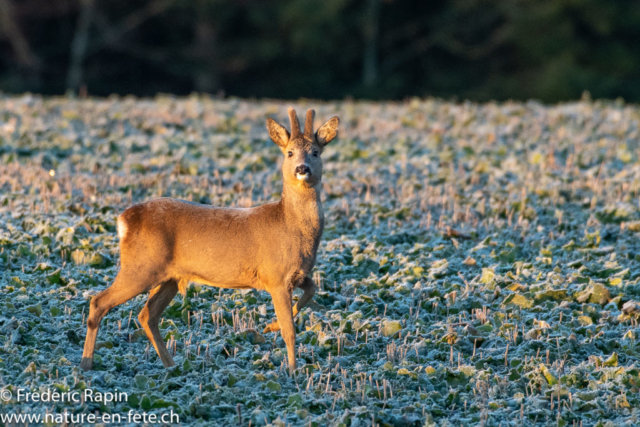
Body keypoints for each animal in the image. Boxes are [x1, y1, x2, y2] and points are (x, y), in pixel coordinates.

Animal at [80, 108, 340, 374]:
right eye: (289, 152)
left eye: (315, 152)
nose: (302, 168)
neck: (290, 226)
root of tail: (124, 219)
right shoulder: (275, 276)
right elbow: (290, 331)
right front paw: (292, 371)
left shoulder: (297, 274)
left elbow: (312, 290)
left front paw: (269, 327)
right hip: (140, 266)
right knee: (99, 302)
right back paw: (86, 365)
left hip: (169, 277)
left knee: (147, 315)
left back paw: (173, 368)